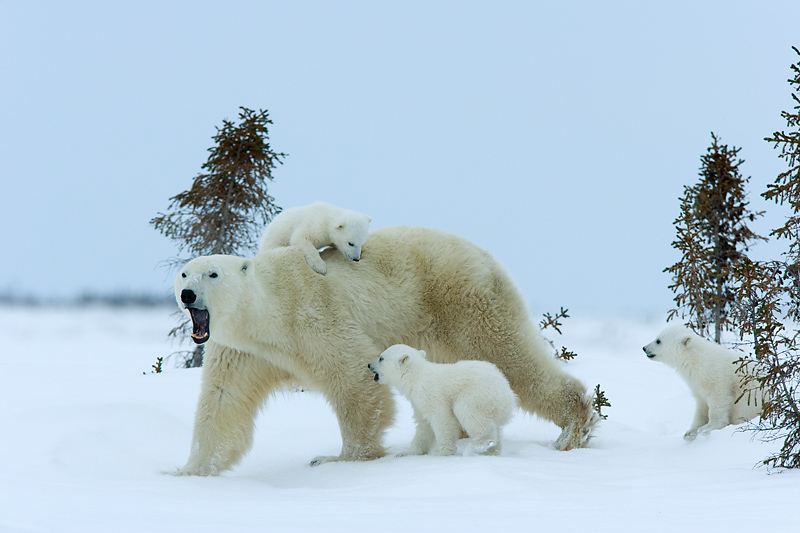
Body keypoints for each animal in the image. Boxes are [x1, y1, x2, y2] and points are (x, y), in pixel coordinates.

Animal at [177, 224, 600, 474]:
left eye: (212, 273)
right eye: (184, 272)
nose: (187, 294)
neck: (270, 312)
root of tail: (483, 255)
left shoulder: (314, 315)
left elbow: (354, 379)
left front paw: (339, 458)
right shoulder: (242, 351)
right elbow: (223, 401)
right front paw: (188, 472)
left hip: (463, 302)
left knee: (509, 356)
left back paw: (570, 429)